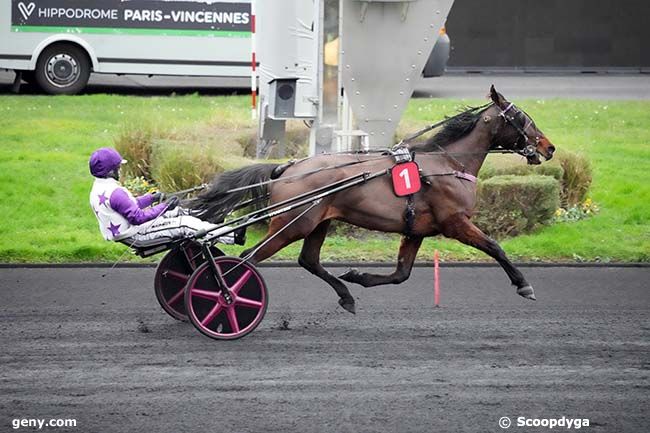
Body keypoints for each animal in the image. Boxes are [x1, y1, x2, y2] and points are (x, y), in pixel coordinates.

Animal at [187, 86, 552, 312]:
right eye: (523, 118)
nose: (549, 147)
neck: (448, 163)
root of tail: (286, 167)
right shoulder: (455, 222)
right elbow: (495, 247)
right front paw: (524, 285)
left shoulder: (415, 230)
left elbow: (401, 274)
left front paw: (357, 276)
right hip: (293, 224)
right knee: (248, 259)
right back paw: (222, 298)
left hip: (319, 222)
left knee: (308, 260)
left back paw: (346, 295)